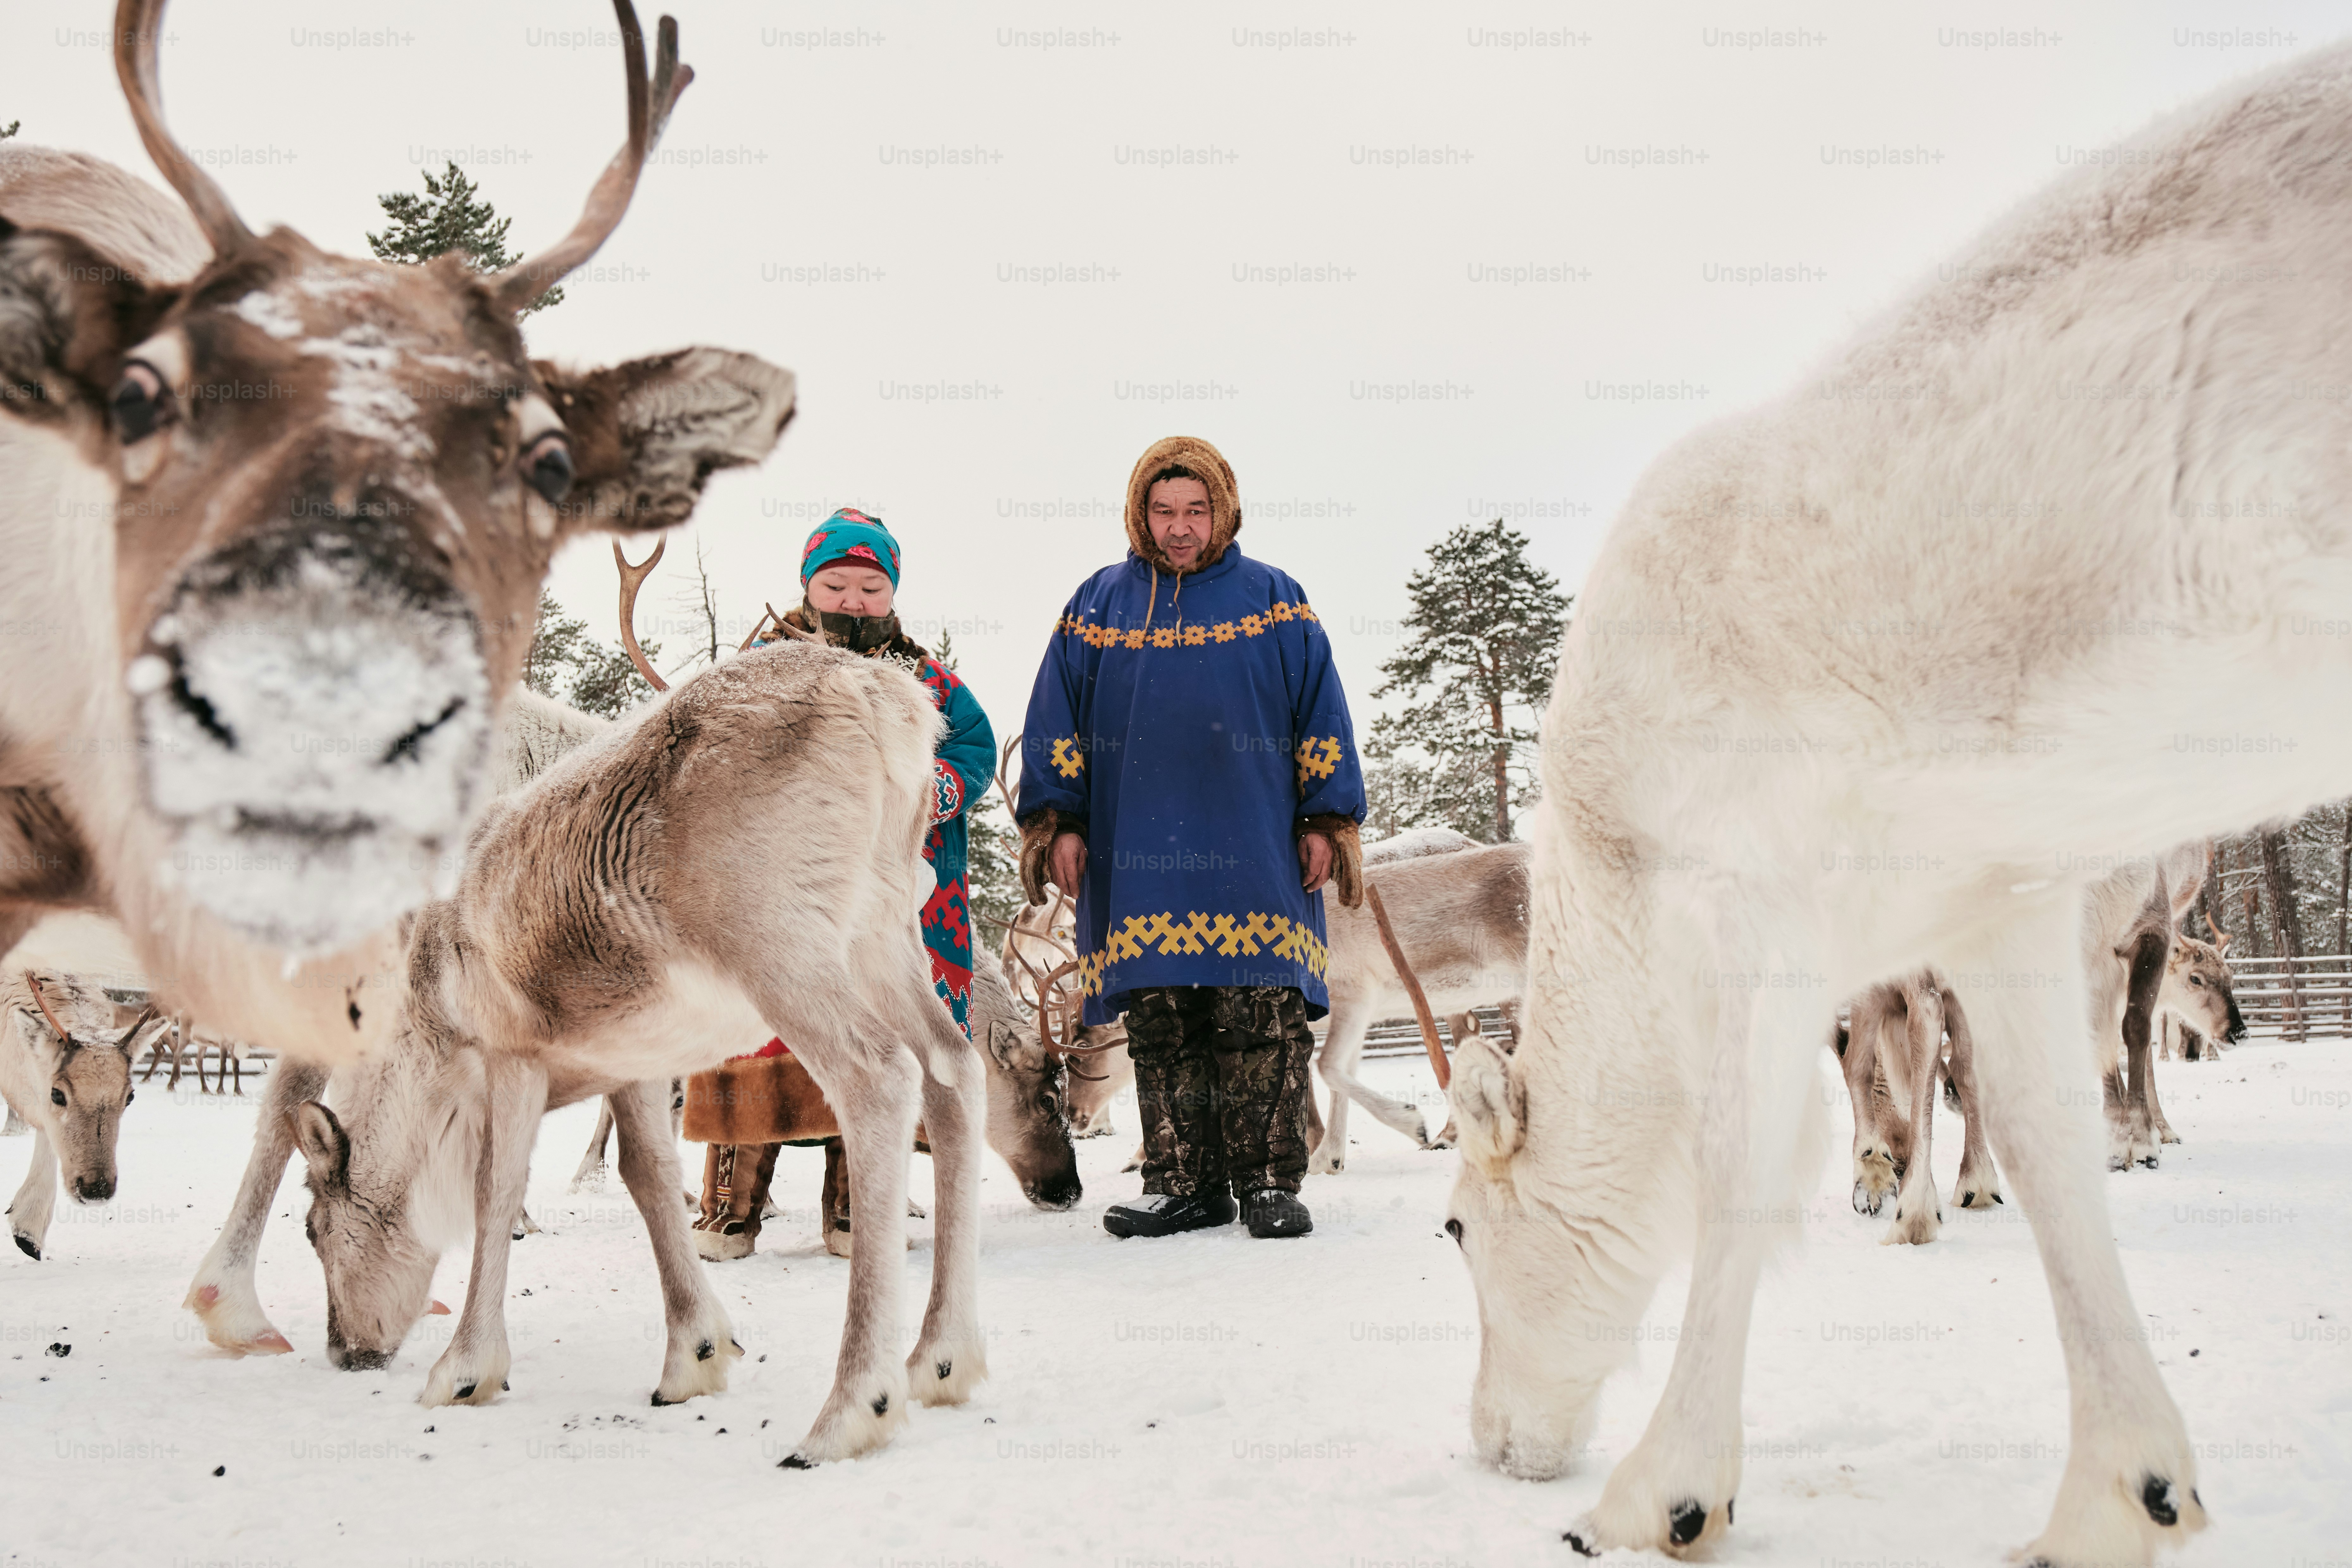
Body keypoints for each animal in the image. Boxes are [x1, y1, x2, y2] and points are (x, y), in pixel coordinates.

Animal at [1441, 43, 2352, 1566]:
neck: (1610, 878)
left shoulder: (1749, 906)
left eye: (1455, 1228)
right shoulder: (1996, 895)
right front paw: (2123, 1489)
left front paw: (1661, 1489)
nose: (1489, 1442)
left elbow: (1744, 1170)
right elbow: (2044, 1144)